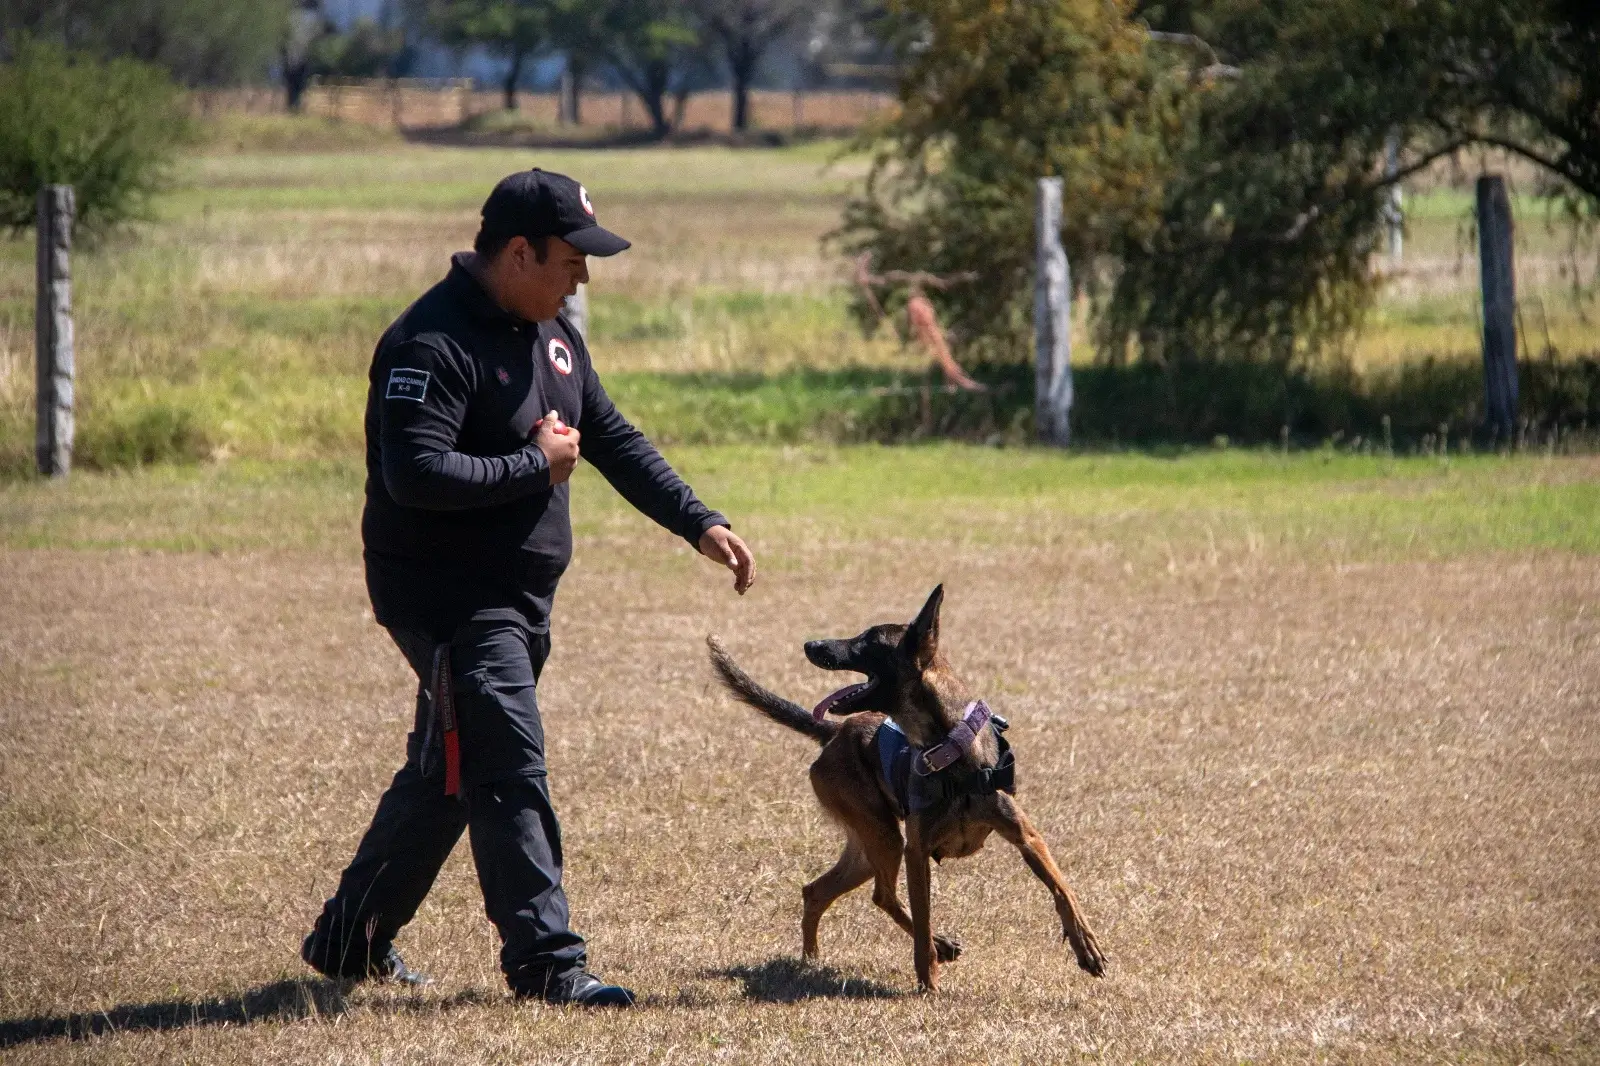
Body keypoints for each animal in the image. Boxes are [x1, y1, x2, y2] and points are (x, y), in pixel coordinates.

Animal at [707, 582, 1107, 985]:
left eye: (868, 641)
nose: (810, 644)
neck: (950, 749)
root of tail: (834, 732)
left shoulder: (1026, 837)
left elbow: (1062, 888)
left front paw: (1085, 945)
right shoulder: (917, 851)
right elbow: (923, 916)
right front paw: (928, 979)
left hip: (871, 845)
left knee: (817, 891)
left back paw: (811, 959)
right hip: (884, 836)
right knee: (882, 896)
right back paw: (935, 946)